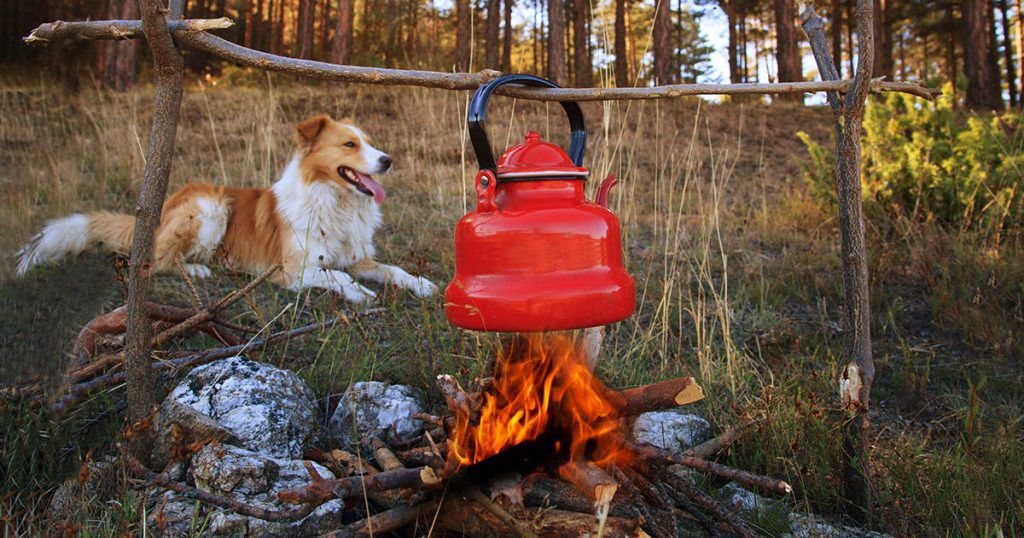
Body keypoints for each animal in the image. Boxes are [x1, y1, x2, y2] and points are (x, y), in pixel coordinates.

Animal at [14, 112, 436, 301]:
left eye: (370, 142)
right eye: (350, 145)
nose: (388, 160)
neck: (336, 202)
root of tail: (164, 206)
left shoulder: (359, 257)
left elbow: (394, 270)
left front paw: (422, 284)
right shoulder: (292, 272)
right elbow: (339, 278)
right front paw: (360, 294)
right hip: (211, 206)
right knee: (156, 261)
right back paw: (198, 269)